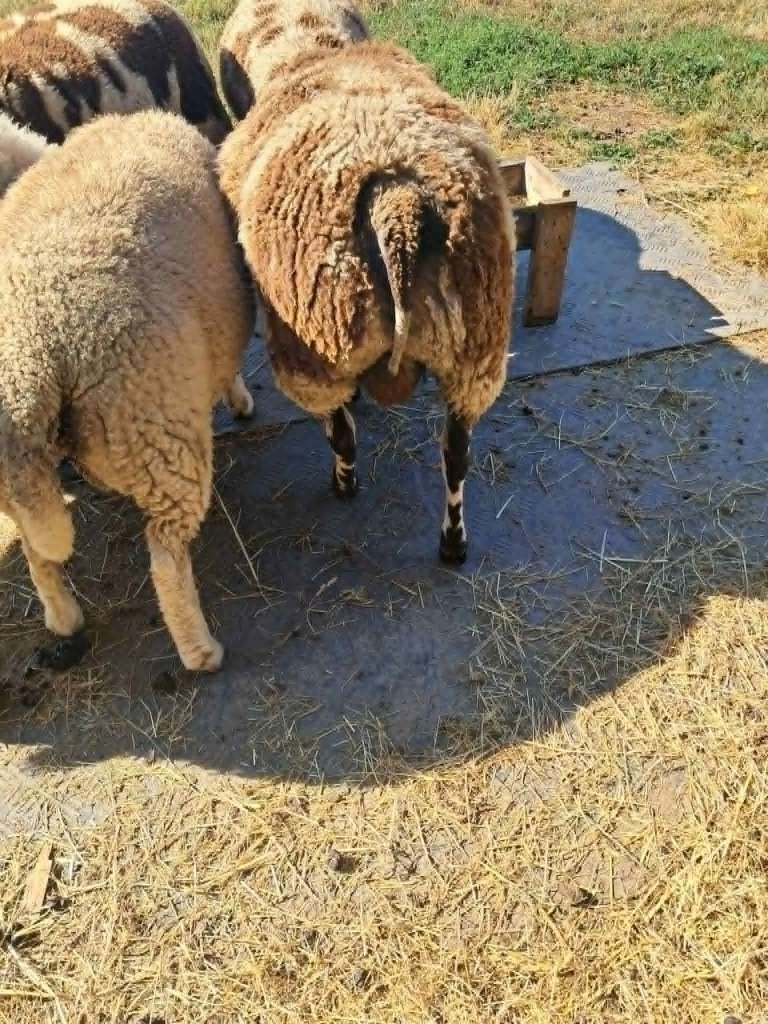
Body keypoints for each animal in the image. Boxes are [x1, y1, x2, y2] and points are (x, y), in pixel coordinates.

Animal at [0, 109, 255, 672]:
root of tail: (33, 345)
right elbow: (230, 370)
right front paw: (241, 399)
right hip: (151, 422)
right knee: (165, 557)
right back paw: (200, 652)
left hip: (22, 473)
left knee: (36, 550)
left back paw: (63, 617)